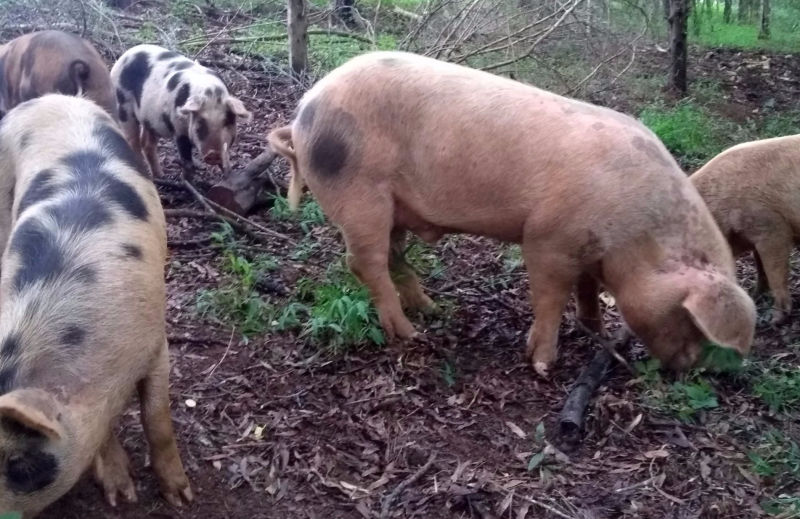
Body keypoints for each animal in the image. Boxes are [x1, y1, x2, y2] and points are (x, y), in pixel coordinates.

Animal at [0, 94, 192, 516]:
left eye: (19, 465)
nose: (183, 496)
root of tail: (45, 99)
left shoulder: (156, 342)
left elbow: (157, 417)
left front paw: (180, 496)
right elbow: (104, 434)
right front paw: (122, 495)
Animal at [110, 44, 251, 178]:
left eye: (227, 122)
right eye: (200, 125)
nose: (213, 154)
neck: (211, 94)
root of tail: (124, 55)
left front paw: (228, 174)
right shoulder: (178, 129)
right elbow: (185, 158)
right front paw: (189, 178)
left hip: (149, 119)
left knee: (147, 144)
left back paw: (161, 176)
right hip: (123, 106)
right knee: (133, 141)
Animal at [268, 51, 757, 376]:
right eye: (690, 320)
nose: (691, 370)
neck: (637, 235)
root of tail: (302, 113)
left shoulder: (587, 246)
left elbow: (586, 289)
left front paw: (593, 329)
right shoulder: (547, 238)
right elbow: (549, 296)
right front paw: (541, 364)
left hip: (392, 206)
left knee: (392, 257)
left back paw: (433, 309)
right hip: (359, 192)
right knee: (363, 262)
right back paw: (409, 334)